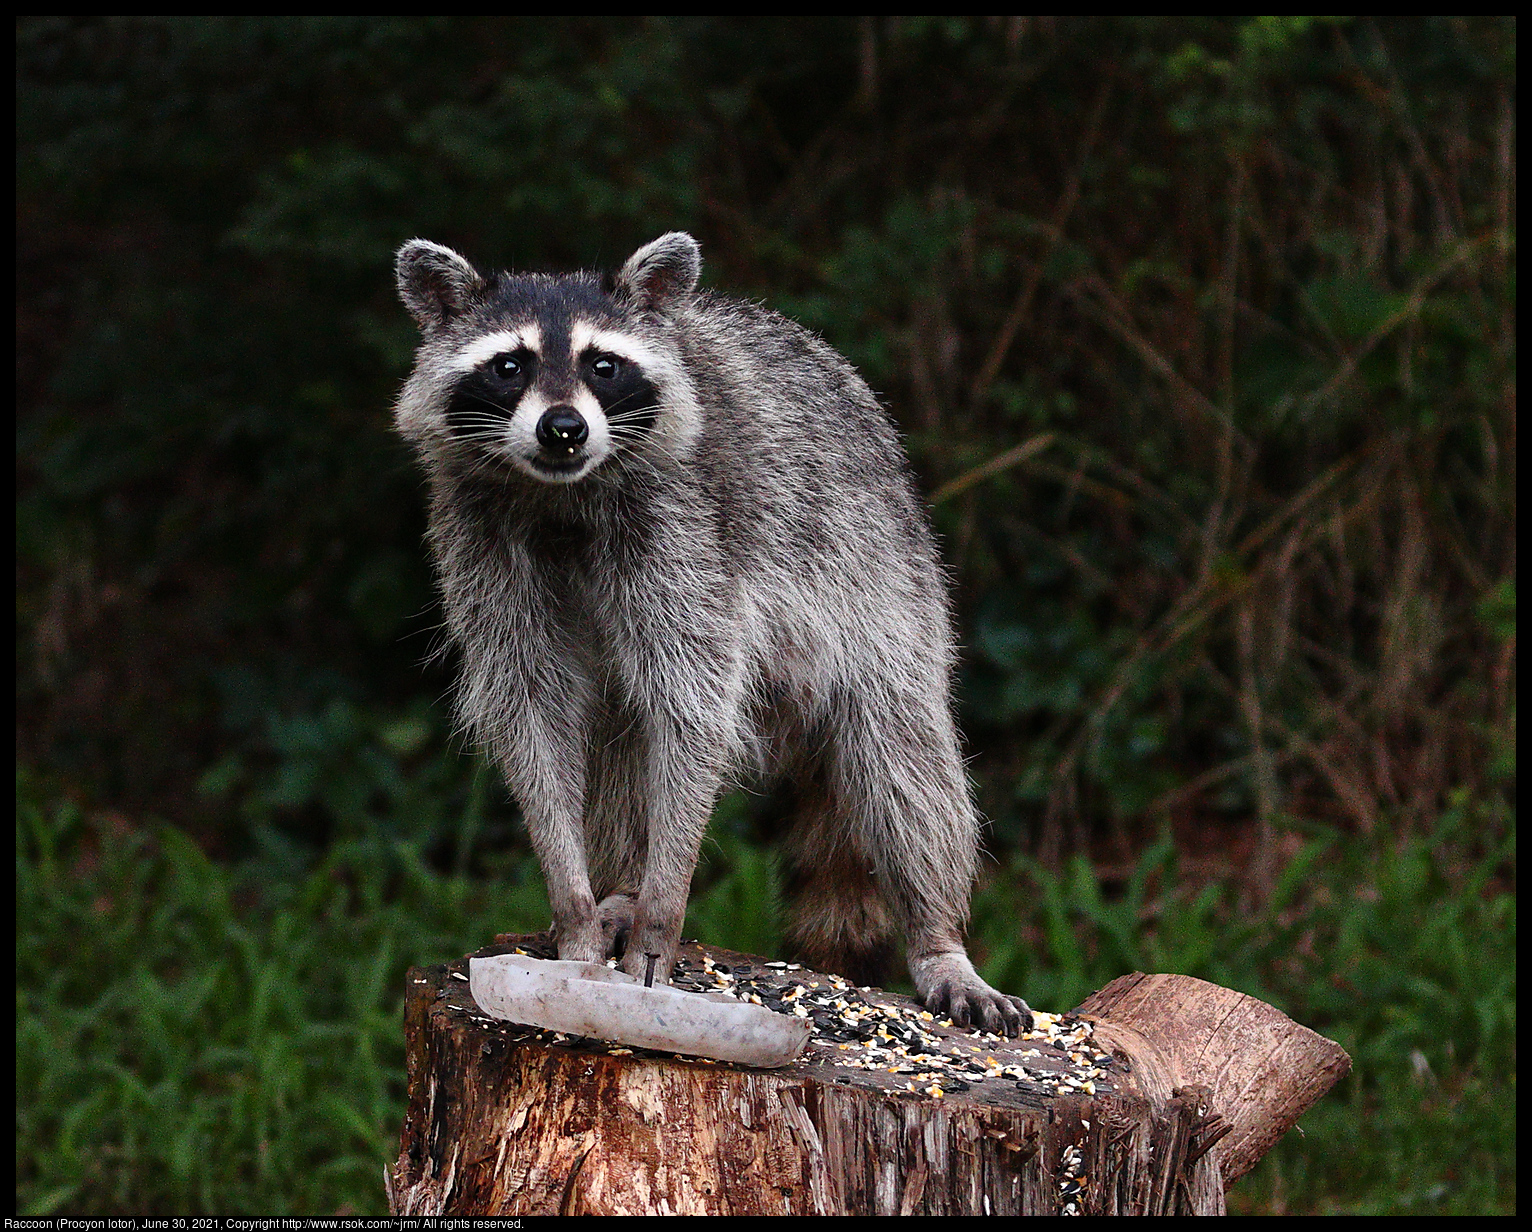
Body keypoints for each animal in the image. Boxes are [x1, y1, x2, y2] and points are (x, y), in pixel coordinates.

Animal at [395, 232, 1035, 1041]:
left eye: (603, 365)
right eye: (509, 366)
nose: (563, 429)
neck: (562, 494)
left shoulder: (691, 535)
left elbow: (693, 713)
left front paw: (663, 913)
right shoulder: (482, 545)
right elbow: (532, 716)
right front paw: (575, 910)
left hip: (886, 574)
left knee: (903, 756)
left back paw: (937, 935)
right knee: (621, 745)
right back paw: (621, 884)